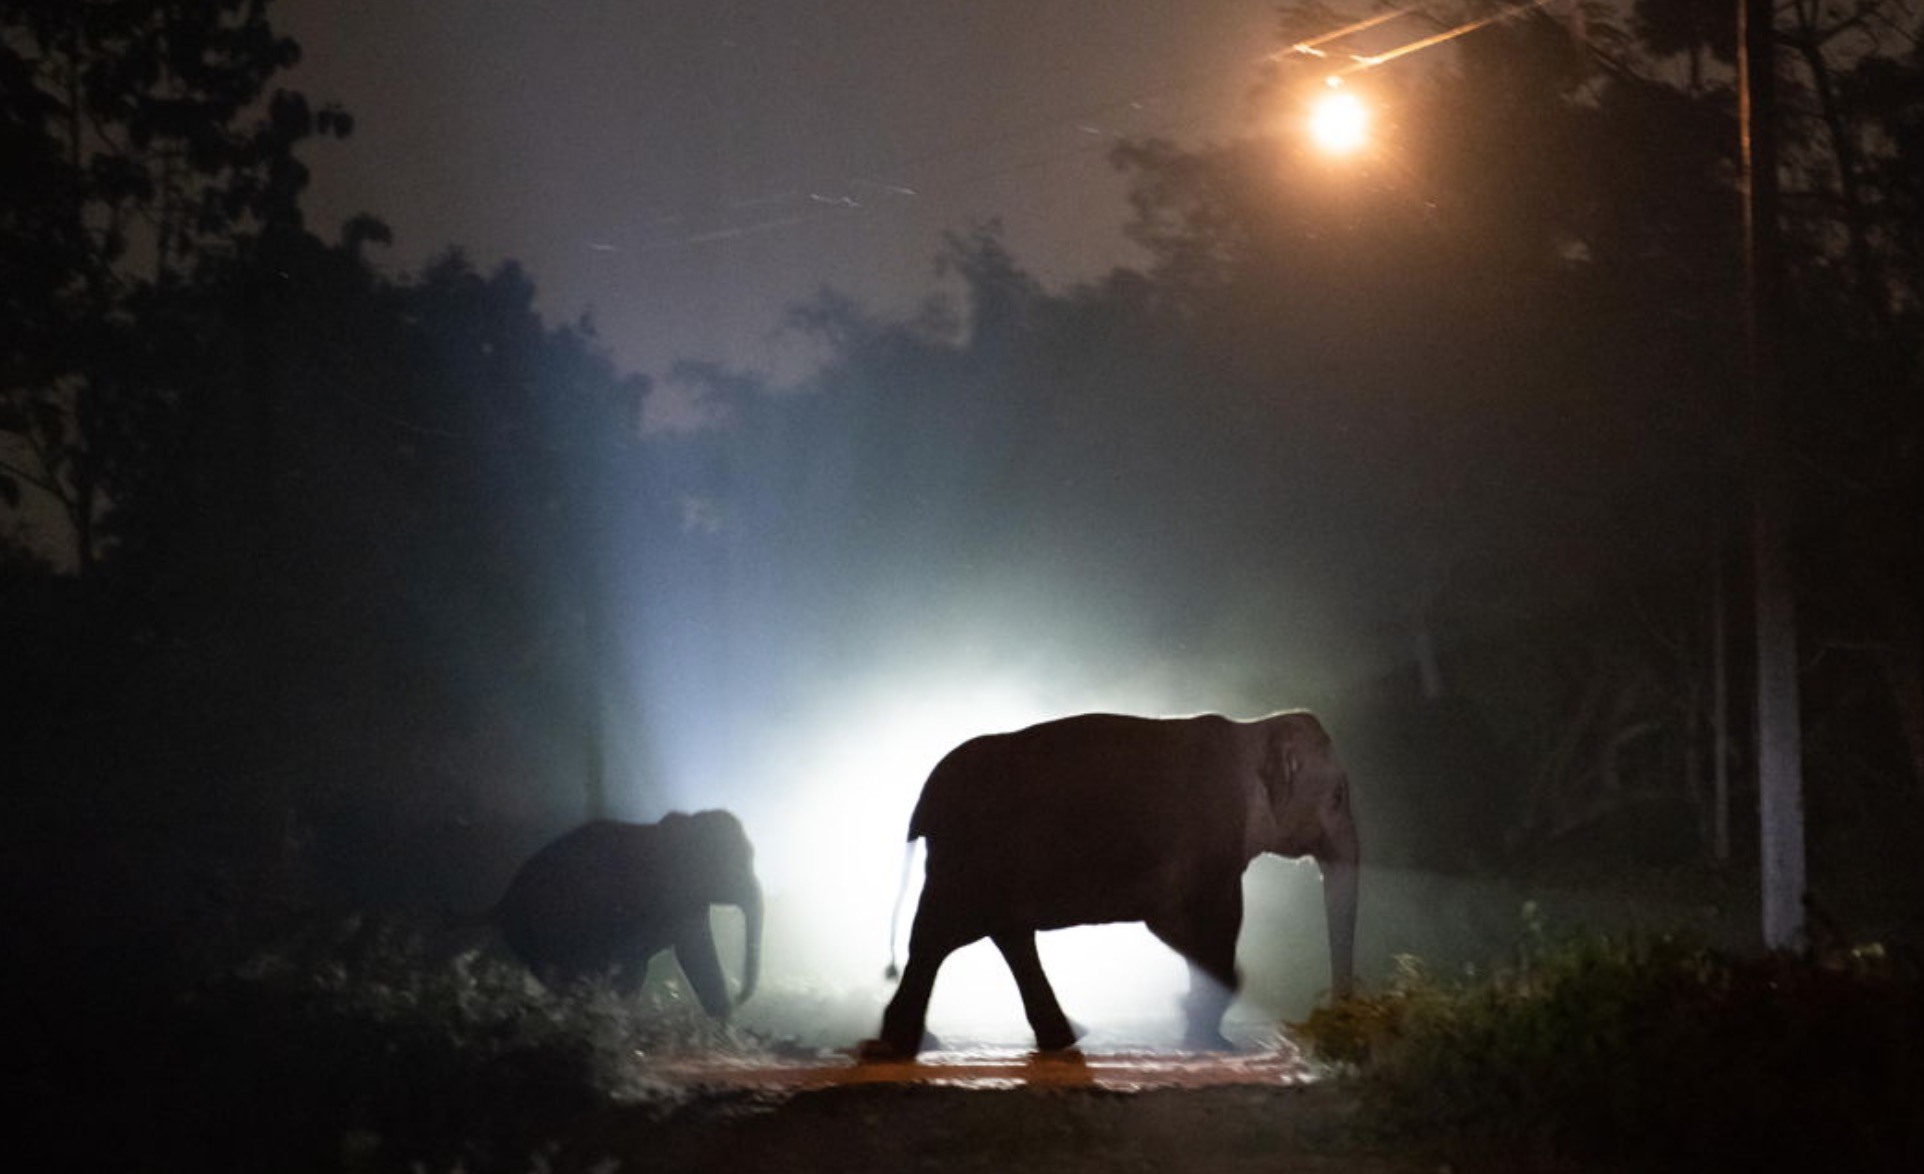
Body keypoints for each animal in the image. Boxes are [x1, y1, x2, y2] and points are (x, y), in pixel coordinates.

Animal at [484, 804, 761, 1016]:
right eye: (736, 862)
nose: (739, 996)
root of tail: (500, 904)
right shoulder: (662, 894)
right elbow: (689, 954)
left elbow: (696, 955)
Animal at [865, 708, 1362, 1054]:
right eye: (1339, 795)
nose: (1334, 1022)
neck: (1253, 730)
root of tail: (925, 799)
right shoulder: (1210, 833)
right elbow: (1186, 923)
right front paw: (1207, 1035)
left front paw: (1201, 1032)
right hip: (968, 861)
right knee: (939, 938)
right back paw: (903, 1046)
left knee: (1000, 937)